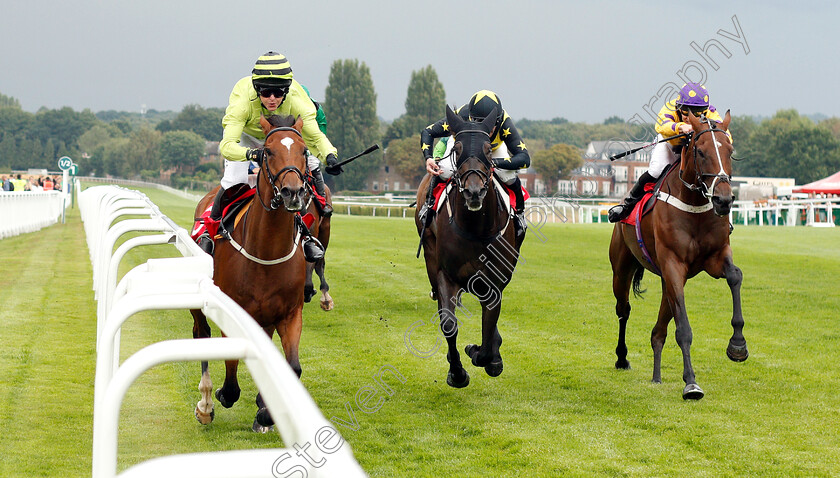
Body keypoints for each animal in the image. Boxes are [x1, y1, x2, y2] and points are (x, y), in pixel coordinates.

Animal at [190, 114, 308, 432]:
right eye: (267, 151)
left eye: (304, 151)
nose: (293, 192)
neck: (266, 251)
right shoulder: (232, 311)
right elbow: (231, 367)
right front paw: (223, 395)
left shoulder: (289, 313)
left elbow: (292, 366)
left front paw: (265, 413)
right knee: (201, 335)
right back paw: (206, 403)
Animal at [412, 105, 520, 388]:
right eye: (458, 148)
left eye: (487, 149)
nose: (473, 192)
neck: (476, 230)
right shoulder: (445, 274)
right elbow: (449, 323)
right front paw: (457, 372)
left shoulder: (494, 283)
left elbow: (488, 332)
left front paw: (485, 354)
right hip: (430, 256)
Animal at [612, 111, 748, 400]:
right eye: (700, 150)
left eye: (730, 151)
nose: (723, 200)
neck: (694, 204)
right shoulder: (674, 264)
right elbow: (683, 328)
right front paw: (691, 383)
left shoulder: (715, 256)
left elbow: (735, 276)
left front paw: (738, 345)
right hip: (622, 268)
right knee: (623, 309)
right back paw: (622, 358)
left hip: (668, 281)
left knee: (658, 330)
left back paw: (656, 375)